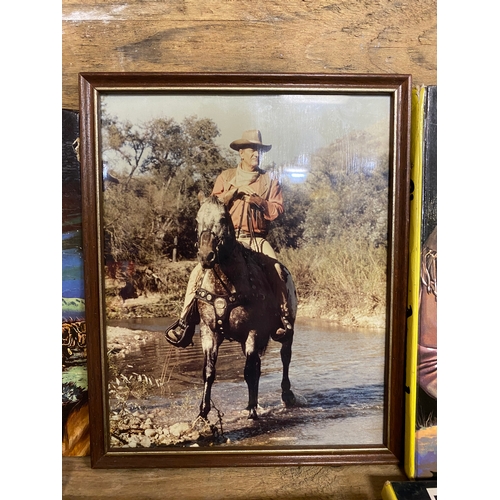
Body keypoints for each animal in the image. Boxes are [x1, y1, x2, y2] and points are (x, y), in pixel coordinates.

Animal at [191, 193, 294, 420]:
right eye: (196, 220)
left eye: (223, 219)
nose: (206, 256)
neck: (225, 284)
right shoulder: (209, 331)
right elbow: (209, 371)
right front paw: (202, 413)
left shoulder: (252, 331)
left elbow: (249, 371)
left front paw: (253, 411)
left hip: (287, 330)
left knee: (285, 358)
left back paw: (287, 395)